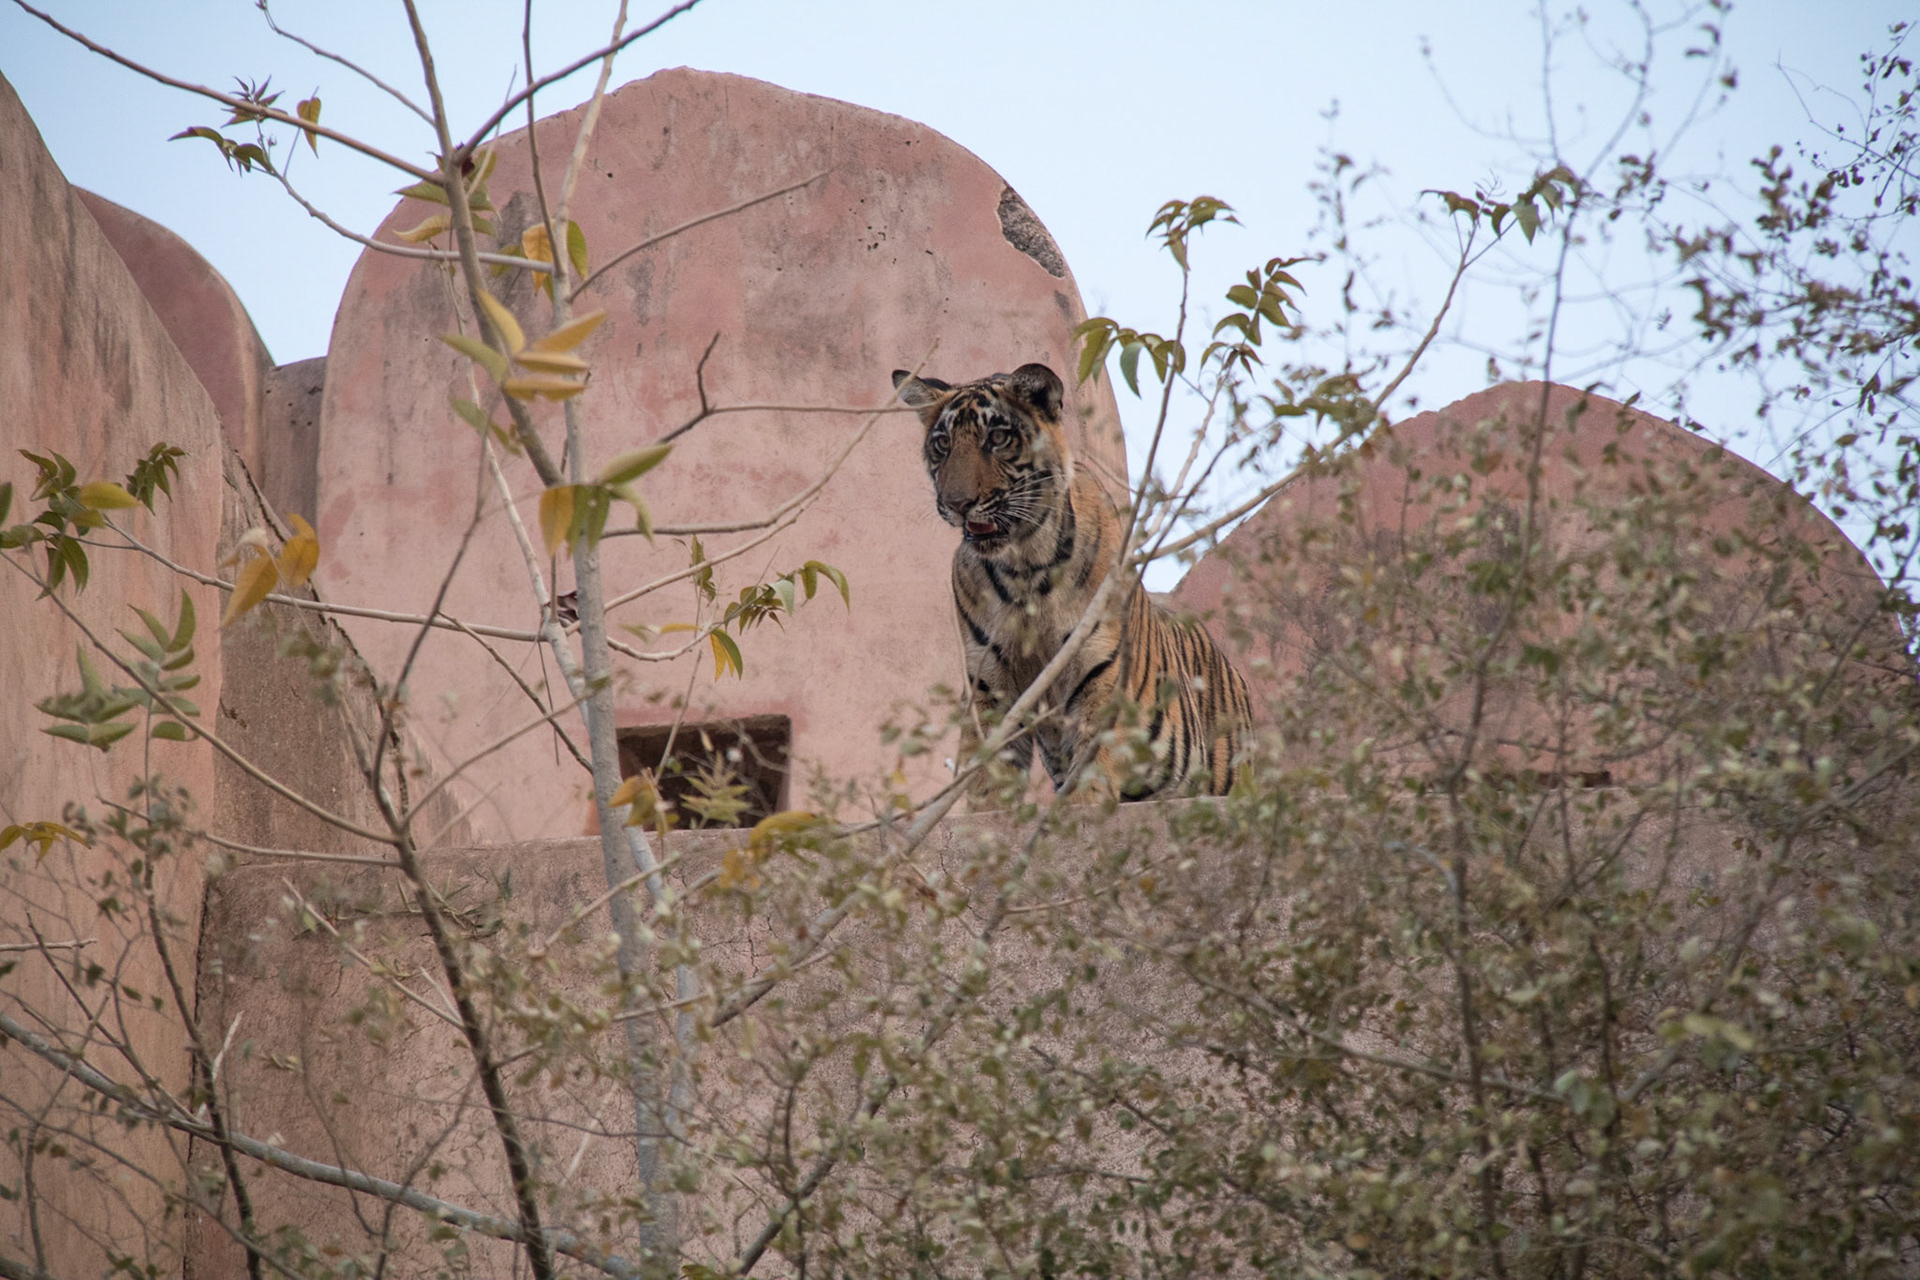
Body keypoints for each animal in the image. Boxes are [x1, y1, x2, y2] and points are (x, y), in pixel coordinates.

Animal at [891, 361, 1252, 801]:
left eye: (997, 438)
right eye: (942, 444)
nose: (958, 504)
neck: (1024, 567)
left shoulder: (1101, 670)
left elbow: (1092, 769)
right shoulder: (990, 685)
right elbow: (988, 777)